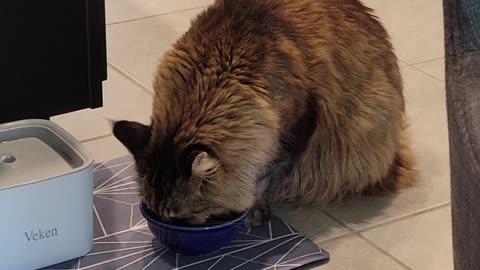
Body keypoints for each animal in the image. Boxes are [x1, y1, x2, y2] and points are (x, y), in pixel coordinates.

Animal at [112, 0, 416, 226]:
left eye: (181, 216)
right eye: (160, 214)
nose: (170, 229)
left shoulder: (293, 131)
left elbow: (263, 178)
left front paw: (255, 210)